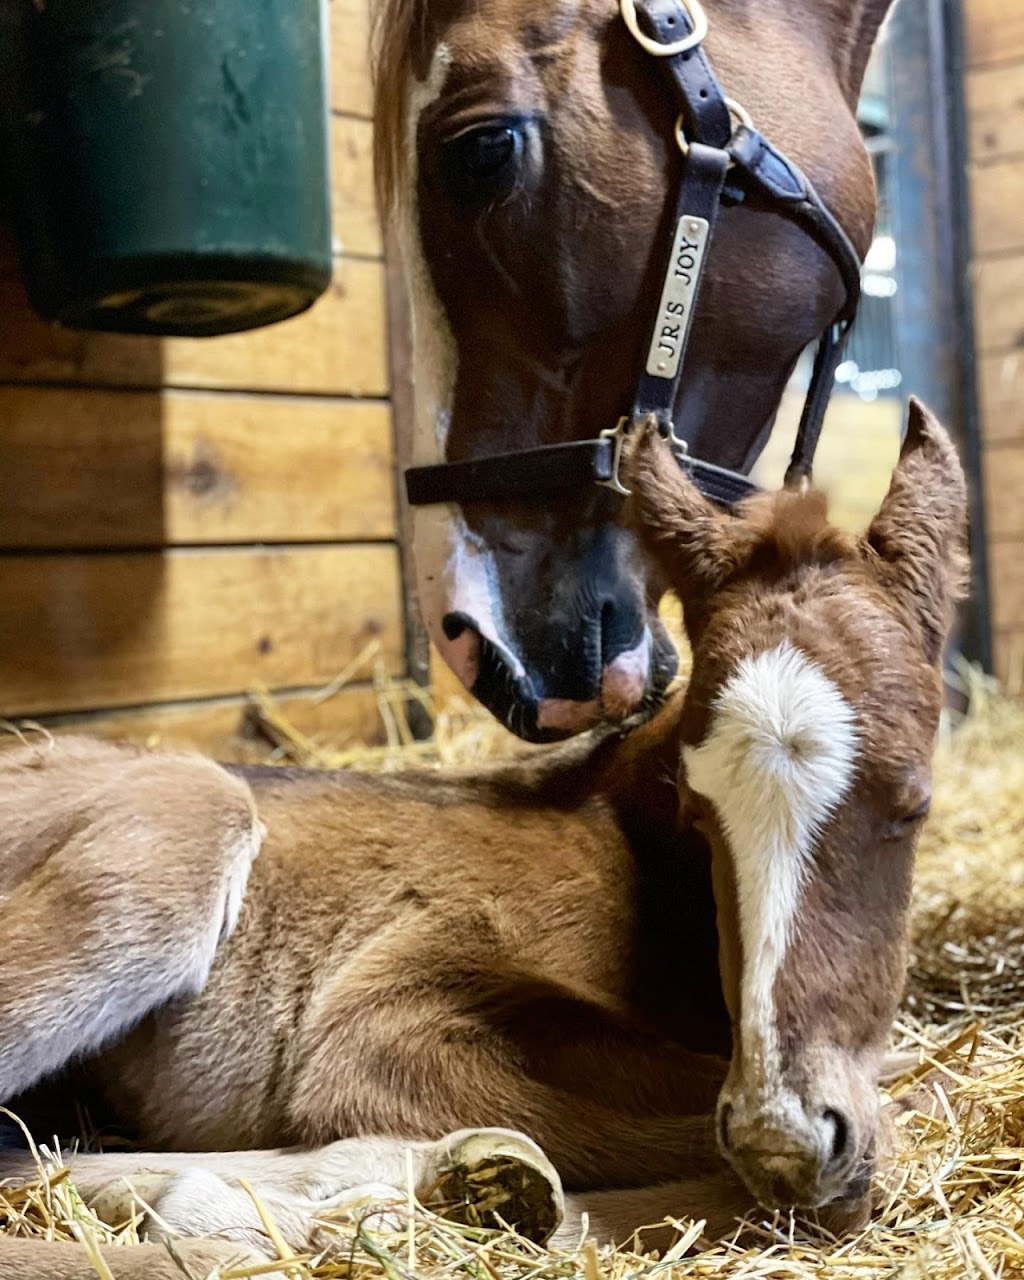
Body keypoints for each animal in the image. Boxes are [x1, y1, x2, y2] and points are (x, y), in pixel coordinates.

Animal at [0, 401, 967, 1280]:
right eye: (698, 811)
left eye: (913, 804)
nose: (783, 1139)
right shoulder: (386, 1022)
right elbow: (888, 1134)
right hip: (185, 830)